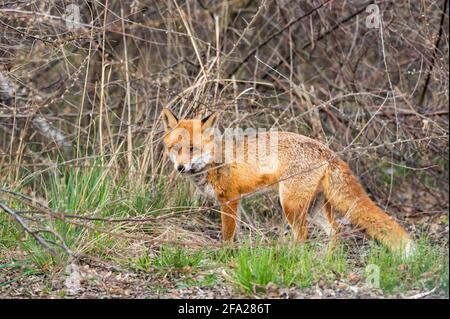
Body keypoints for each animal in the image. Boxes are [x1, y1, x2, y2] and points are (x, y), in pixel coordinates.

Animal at [161, 109, 414, 258]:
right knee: (335, 230)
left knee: (303, 236)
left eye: (192, 149)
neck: (214, 161)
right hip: (314, 209)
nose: (180, 168)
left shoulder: (229, 200)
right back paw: (326, 260)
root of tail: (329, 151)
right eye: (176, 149)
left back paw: (294, 259)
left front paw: (224, 256)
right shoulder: (237, 202)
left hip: (291, 206)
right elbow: (236, 235)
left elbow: (227, 235)